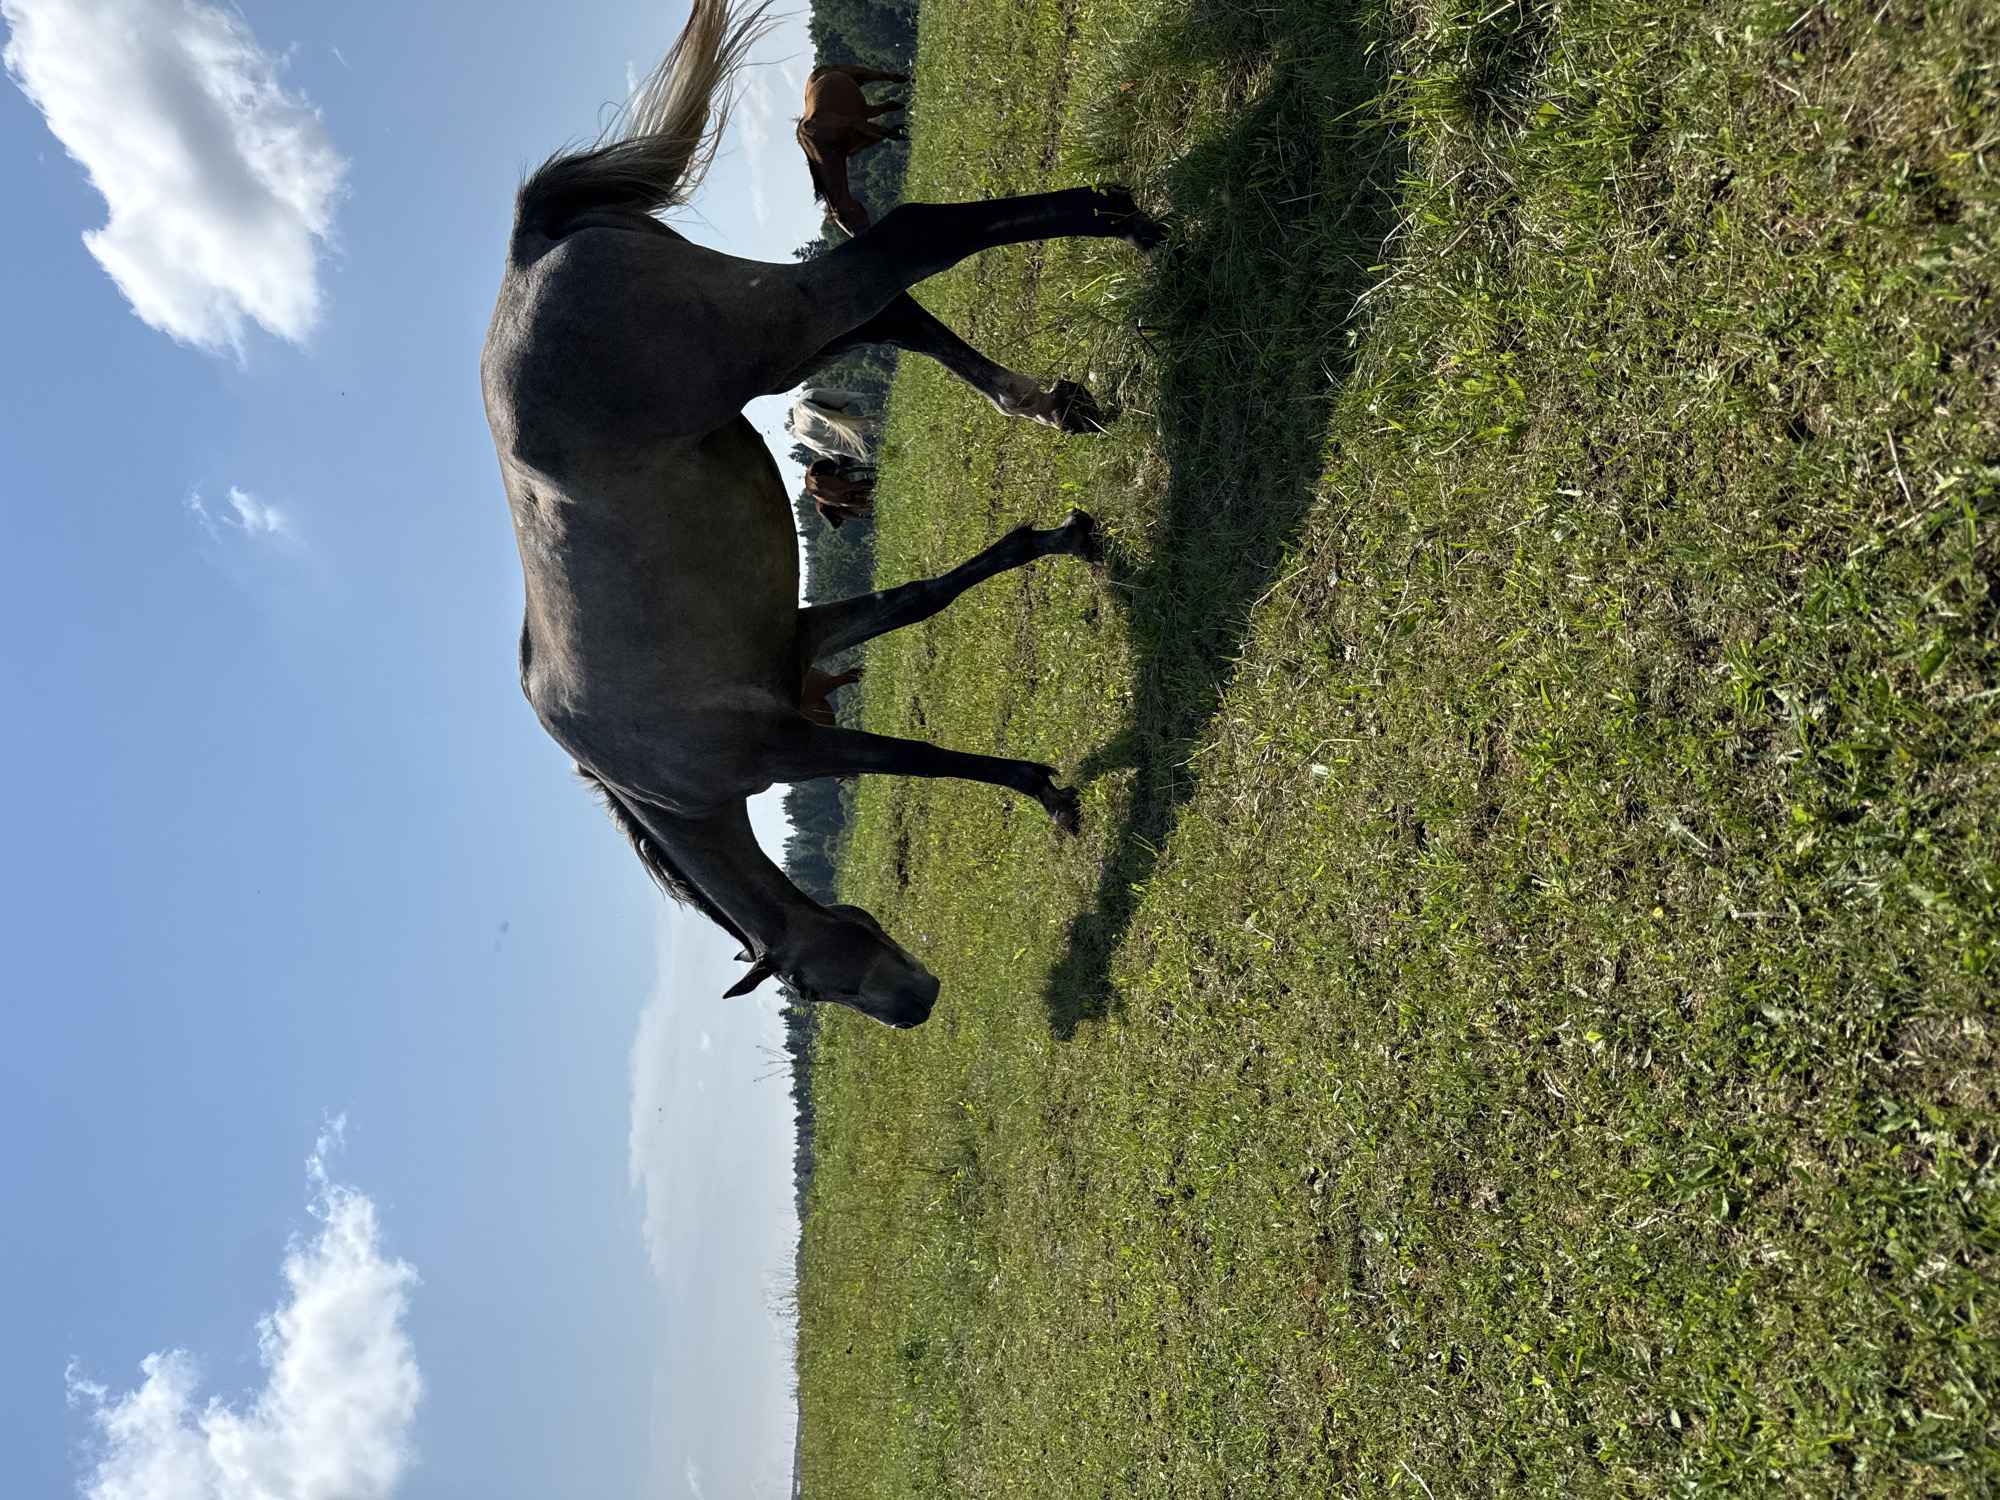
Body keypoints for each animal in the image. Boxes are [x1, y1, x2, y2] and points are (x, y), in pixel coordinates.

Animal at [797, 62, 907, 235]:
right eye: (845, 226)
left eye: (847, 218)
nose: (866, 232)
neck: (823, 140)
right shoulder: (865, 139)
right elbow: (894, 131)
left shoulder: (860, 124)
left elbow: (893, 134)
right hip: (866, 108)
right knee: (889, 105)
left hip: (861, 75)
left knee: (892, 79)